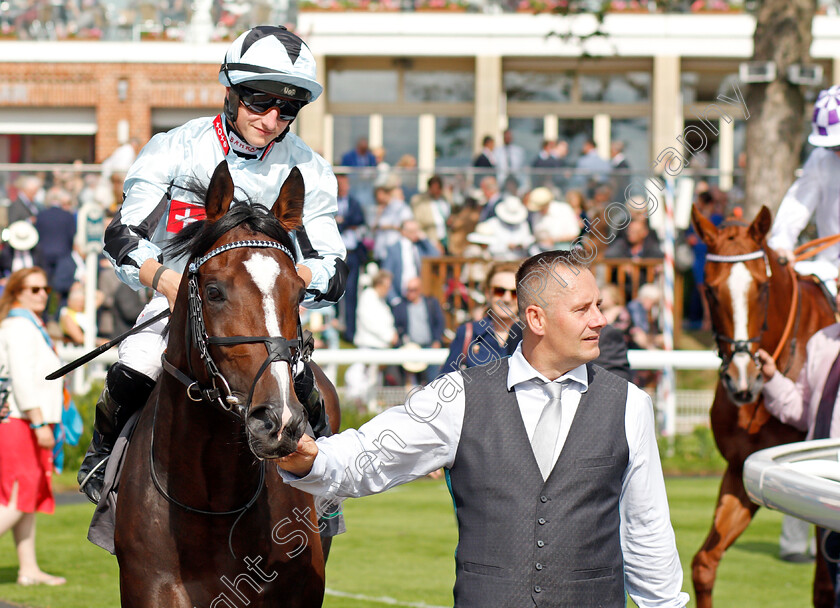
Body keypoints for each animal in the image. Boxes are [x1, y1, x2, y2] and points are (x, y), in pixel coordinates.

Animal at [692, 205, 836, 608]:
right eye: (710, 290)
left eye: (762, 287)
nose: (742, 379)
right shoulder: (741, 467)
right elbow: (704, 563)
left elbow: (824, 588)